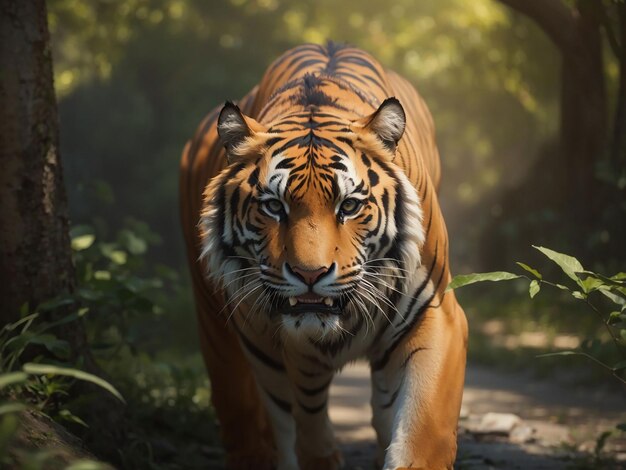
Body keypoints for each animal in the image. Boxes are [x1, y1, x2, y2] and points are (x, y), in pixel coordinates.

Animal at [178, 41, 466, 470]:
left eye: (349, 206)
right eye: (273, 206)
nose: (309, 274)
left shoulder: (437, 313)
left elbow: (422, 431)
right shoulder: (280, 346)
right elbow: (302, 420)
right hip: (218, 324)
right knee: (241, 405)